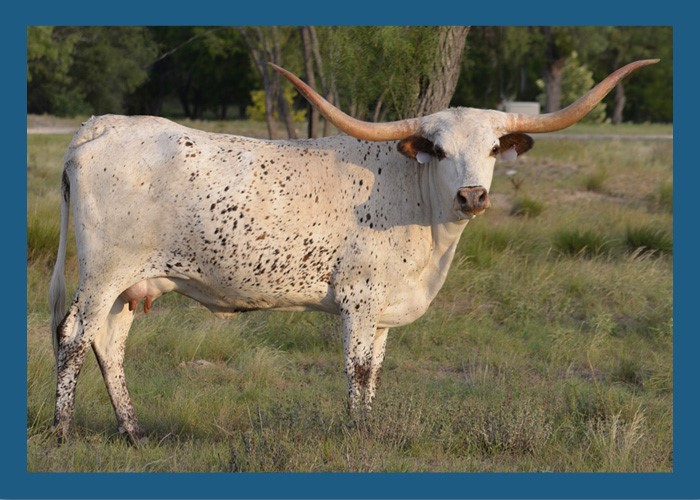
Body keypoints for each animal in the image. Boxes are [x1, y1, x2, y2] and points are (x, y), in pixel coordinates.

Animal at [48, 59, 658, 443]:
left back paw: (133, 432)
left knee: (110, 344)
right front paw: (357, 435)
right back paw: (61, 431)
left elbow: (376, 373)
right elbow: (358, 369)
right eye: (438, 149)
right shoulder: (359, 302)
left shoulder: (383, 313)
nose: (472, 195)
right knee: (74, 337)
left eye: (491, 150)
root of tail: (102, 126)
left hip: (131, 285)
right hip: (103, 274)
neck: (419, 204)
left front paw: (368, 427)